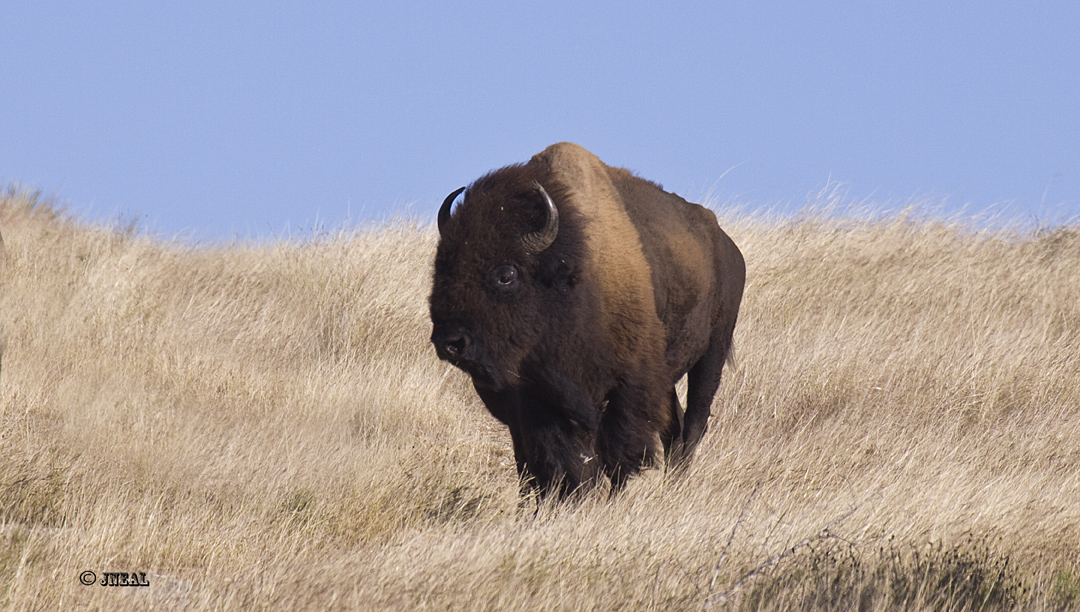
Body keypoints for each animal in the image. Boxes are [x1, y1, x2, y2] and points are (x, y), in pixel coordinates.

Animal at [430, 143, 745, 498]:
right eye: (442, 267)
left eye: (506, 274)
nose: (450, 342)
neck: (571, 274)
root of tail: (729, 248)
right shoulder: (540, 401)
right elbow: (566, 458)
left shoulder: (626, 386)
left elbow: (616, 452)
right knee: (673, 425)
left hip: (713, 352)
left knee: (694, 420)